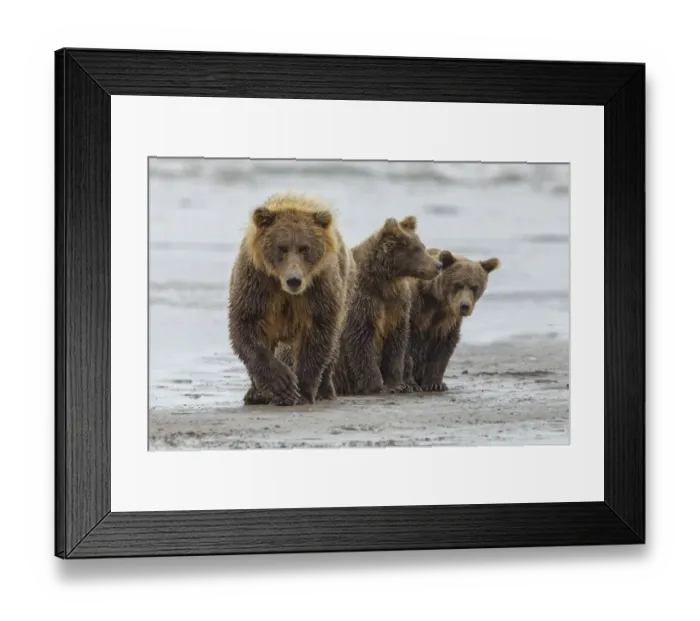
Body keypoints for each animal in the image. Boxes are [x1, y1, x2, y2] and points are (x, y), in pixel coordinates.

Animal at [227, 192, 356, 406]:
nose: (294, 280)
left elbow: (318, 335)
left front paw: (301, 391)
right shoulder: (257, 283)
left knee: (333, 346)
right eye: (282, 247)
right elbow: (246, 327)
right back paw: (255, 394)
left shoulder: (318, 289)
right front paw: (282, 383)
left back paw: (325, 390)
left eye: (305, 248)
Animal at [333, 215, 443, 396]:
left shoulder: (397, 306)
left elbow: (396, 343)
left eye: (422, 246)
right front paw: (375, 385)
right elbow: (360, 340)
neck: (385, 283)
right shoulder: (364, 302)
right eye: (415, 249)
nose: (438, 265)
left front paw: (397, 384)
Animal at [403, 249, 501, 392]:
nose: (464, 306)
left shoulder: (448, 320)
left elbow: (444, 348)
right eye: (458, 284)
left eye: (474, 287)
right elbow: (405, 344)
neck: (436, 301)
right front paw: (410, 384)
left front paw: (435, 384)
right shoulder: (415, 310)